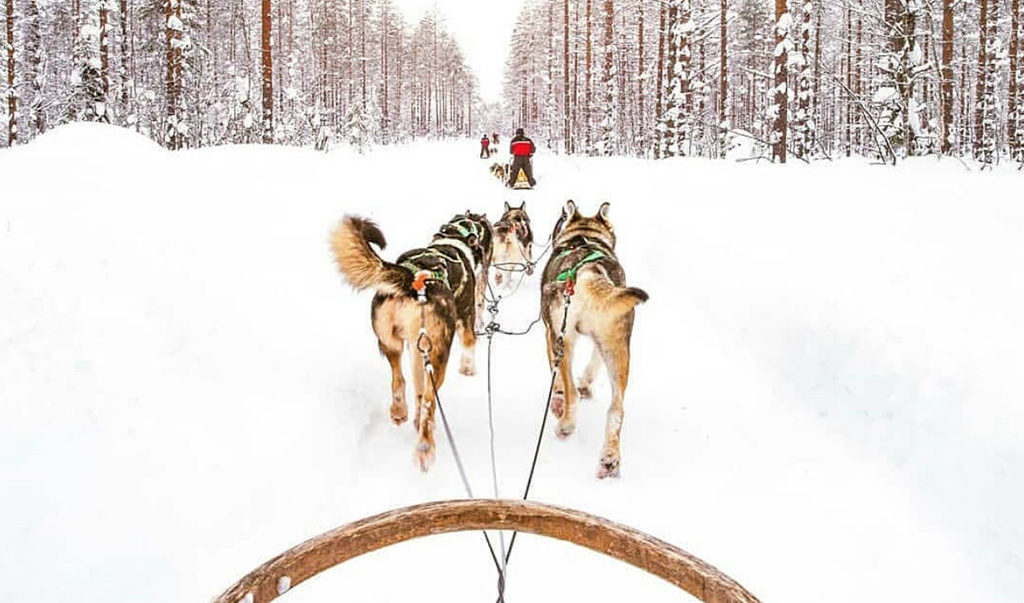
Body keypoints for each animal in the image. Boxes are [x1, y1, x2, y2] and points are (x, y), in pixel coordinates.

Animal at [329, 211, 493, 470]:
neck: (455, 240)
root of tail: (413, 279)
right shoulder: (466, 320)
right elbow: (469, 346)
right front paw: (469, 370)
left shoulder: (414, 350)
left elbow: (414, 384)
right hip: (437, 354)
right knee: (428, 402)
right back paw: (425, 449)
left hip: (392, 342)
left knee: (400, 380)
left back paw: (400, 411)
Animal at [536, 199, 647, 477]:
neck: (584, 235)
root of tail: (589, 271)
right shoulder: (603, 338)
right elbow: (593, 363)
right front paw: (586, 381)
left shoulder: (549, 333)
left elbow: (558, 381)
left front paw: (557, 398)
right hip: (618, 349)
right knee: (616, 409)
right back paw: (609, 460)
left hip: (563, 340)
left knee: (571, 394)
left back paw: (565, 424)